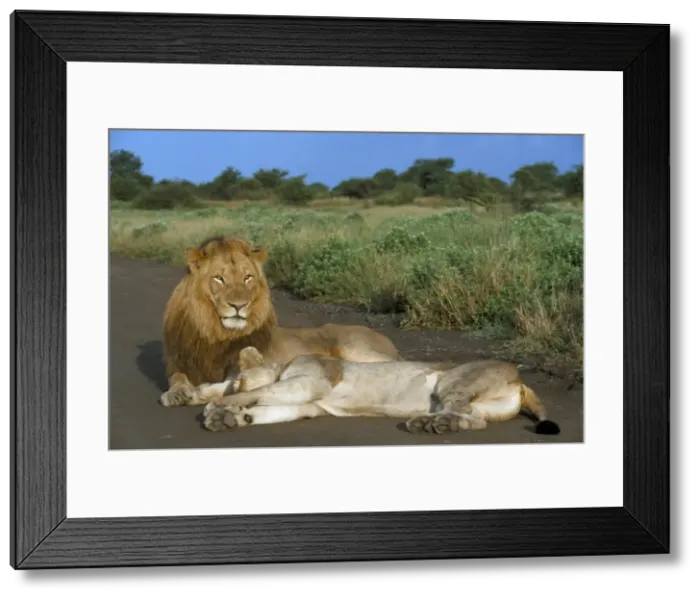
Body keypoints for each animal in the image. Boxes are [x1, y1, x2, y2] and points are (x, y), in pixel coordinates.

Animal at [159, 236, 401, 408]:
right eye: (219, 278)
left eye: (247, 278)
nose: (239, 305)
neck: (216, 333)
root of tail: (387, 340)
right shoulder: (178, 363)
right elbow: (177, 378)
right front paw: (178, 394)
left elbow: (233, 382)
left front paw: (203, 393)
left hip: (355, 349)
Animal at [200, 346, 562, 437]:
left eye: (237, 377)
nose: (231, 382)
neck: (283, 364)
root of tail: (521, 377)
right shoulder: (309, 404)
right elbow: (266, 409)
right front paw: (231, 418)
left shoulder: (311, 382)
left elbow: (258, 393)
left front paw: (217, 407)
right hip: (484, 406)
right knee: (476, 419)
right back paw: (435, 424)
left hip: (454, 381)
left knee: (460, 409)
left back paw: (430, 424)